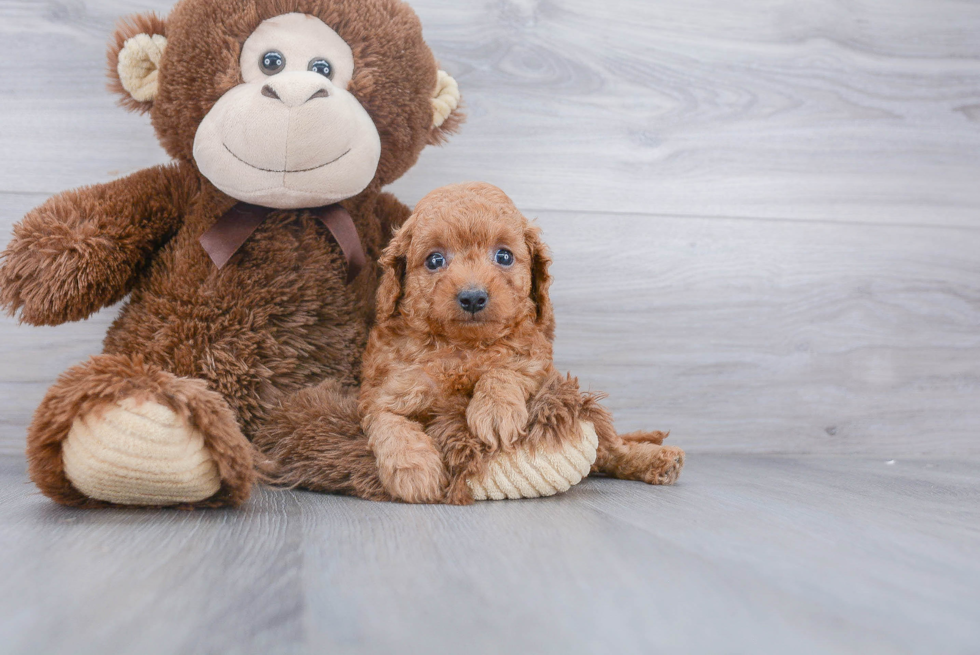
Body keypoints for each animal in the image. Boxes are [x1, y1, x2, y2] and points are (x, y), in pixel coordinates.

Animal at [356, 182, 684, 504]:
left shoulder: (537, 361)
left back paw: (656, 460)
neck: (464, 348)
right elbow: (390, 423)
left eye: (504, 256)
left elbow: (507, 368)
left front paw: (495, 410)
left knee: (612, 448)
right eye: (435, 260)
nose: (473, 297)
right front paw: (415, 471)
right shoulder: (385, 391)